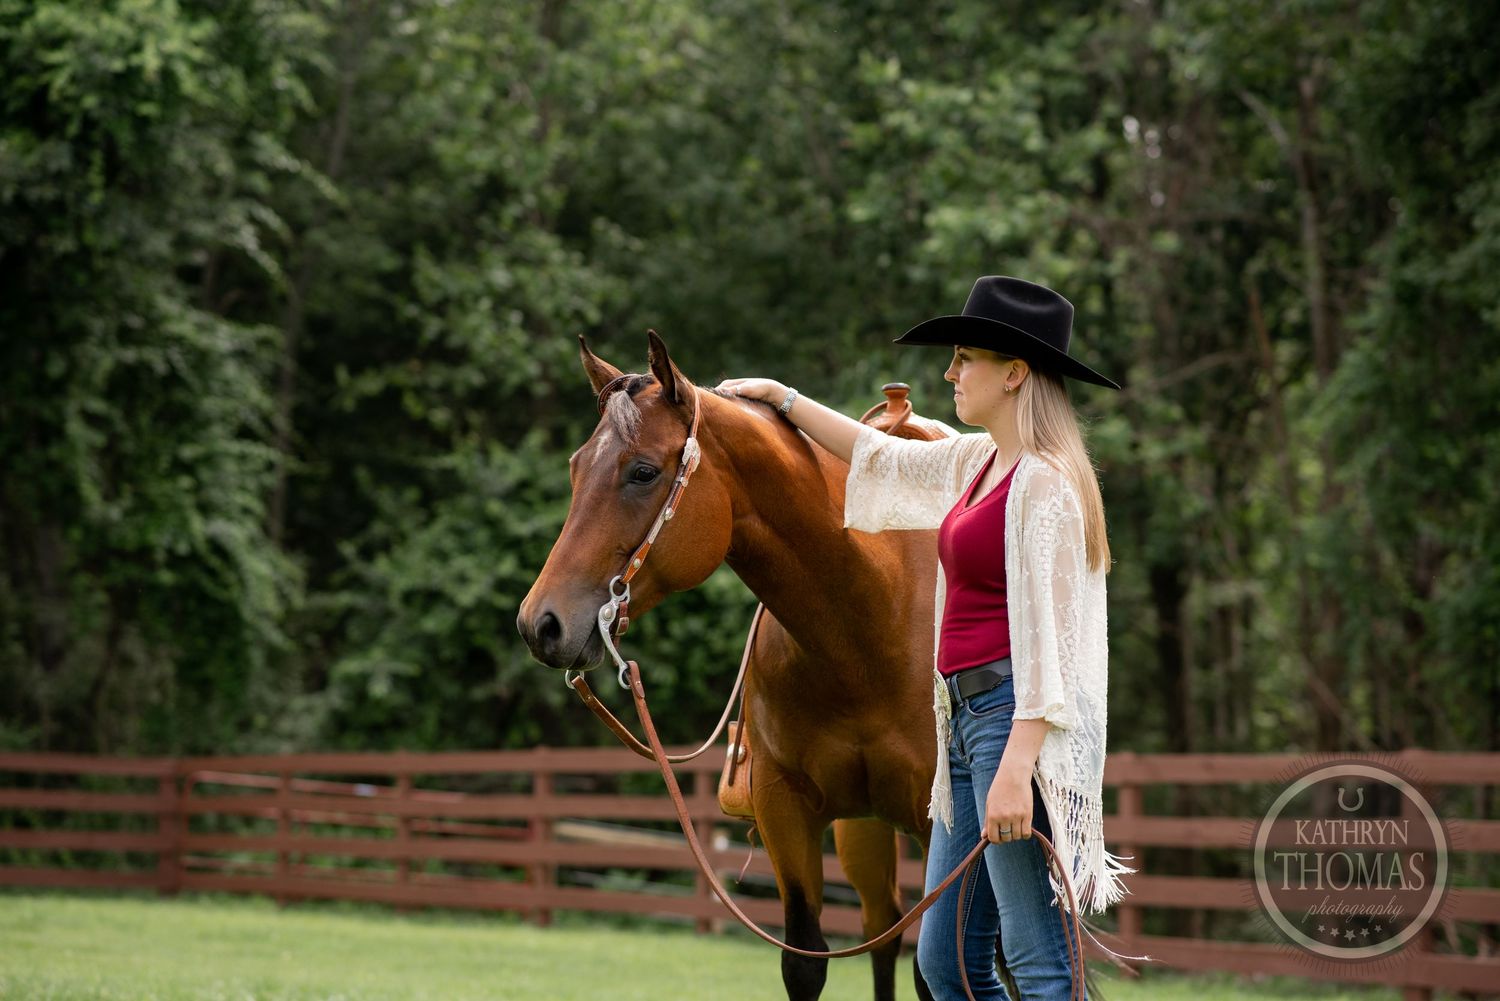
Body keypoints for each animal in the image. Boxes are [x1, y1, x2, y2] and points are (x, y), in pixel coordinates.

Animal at [517, 331, 946, 1001]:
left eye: (643, 471)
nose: (541, 623)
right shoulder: (784, 810)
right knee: (883, 932)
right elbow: (806, 960)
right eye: (575, 467)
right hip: (865, 832)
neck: (873, 619)